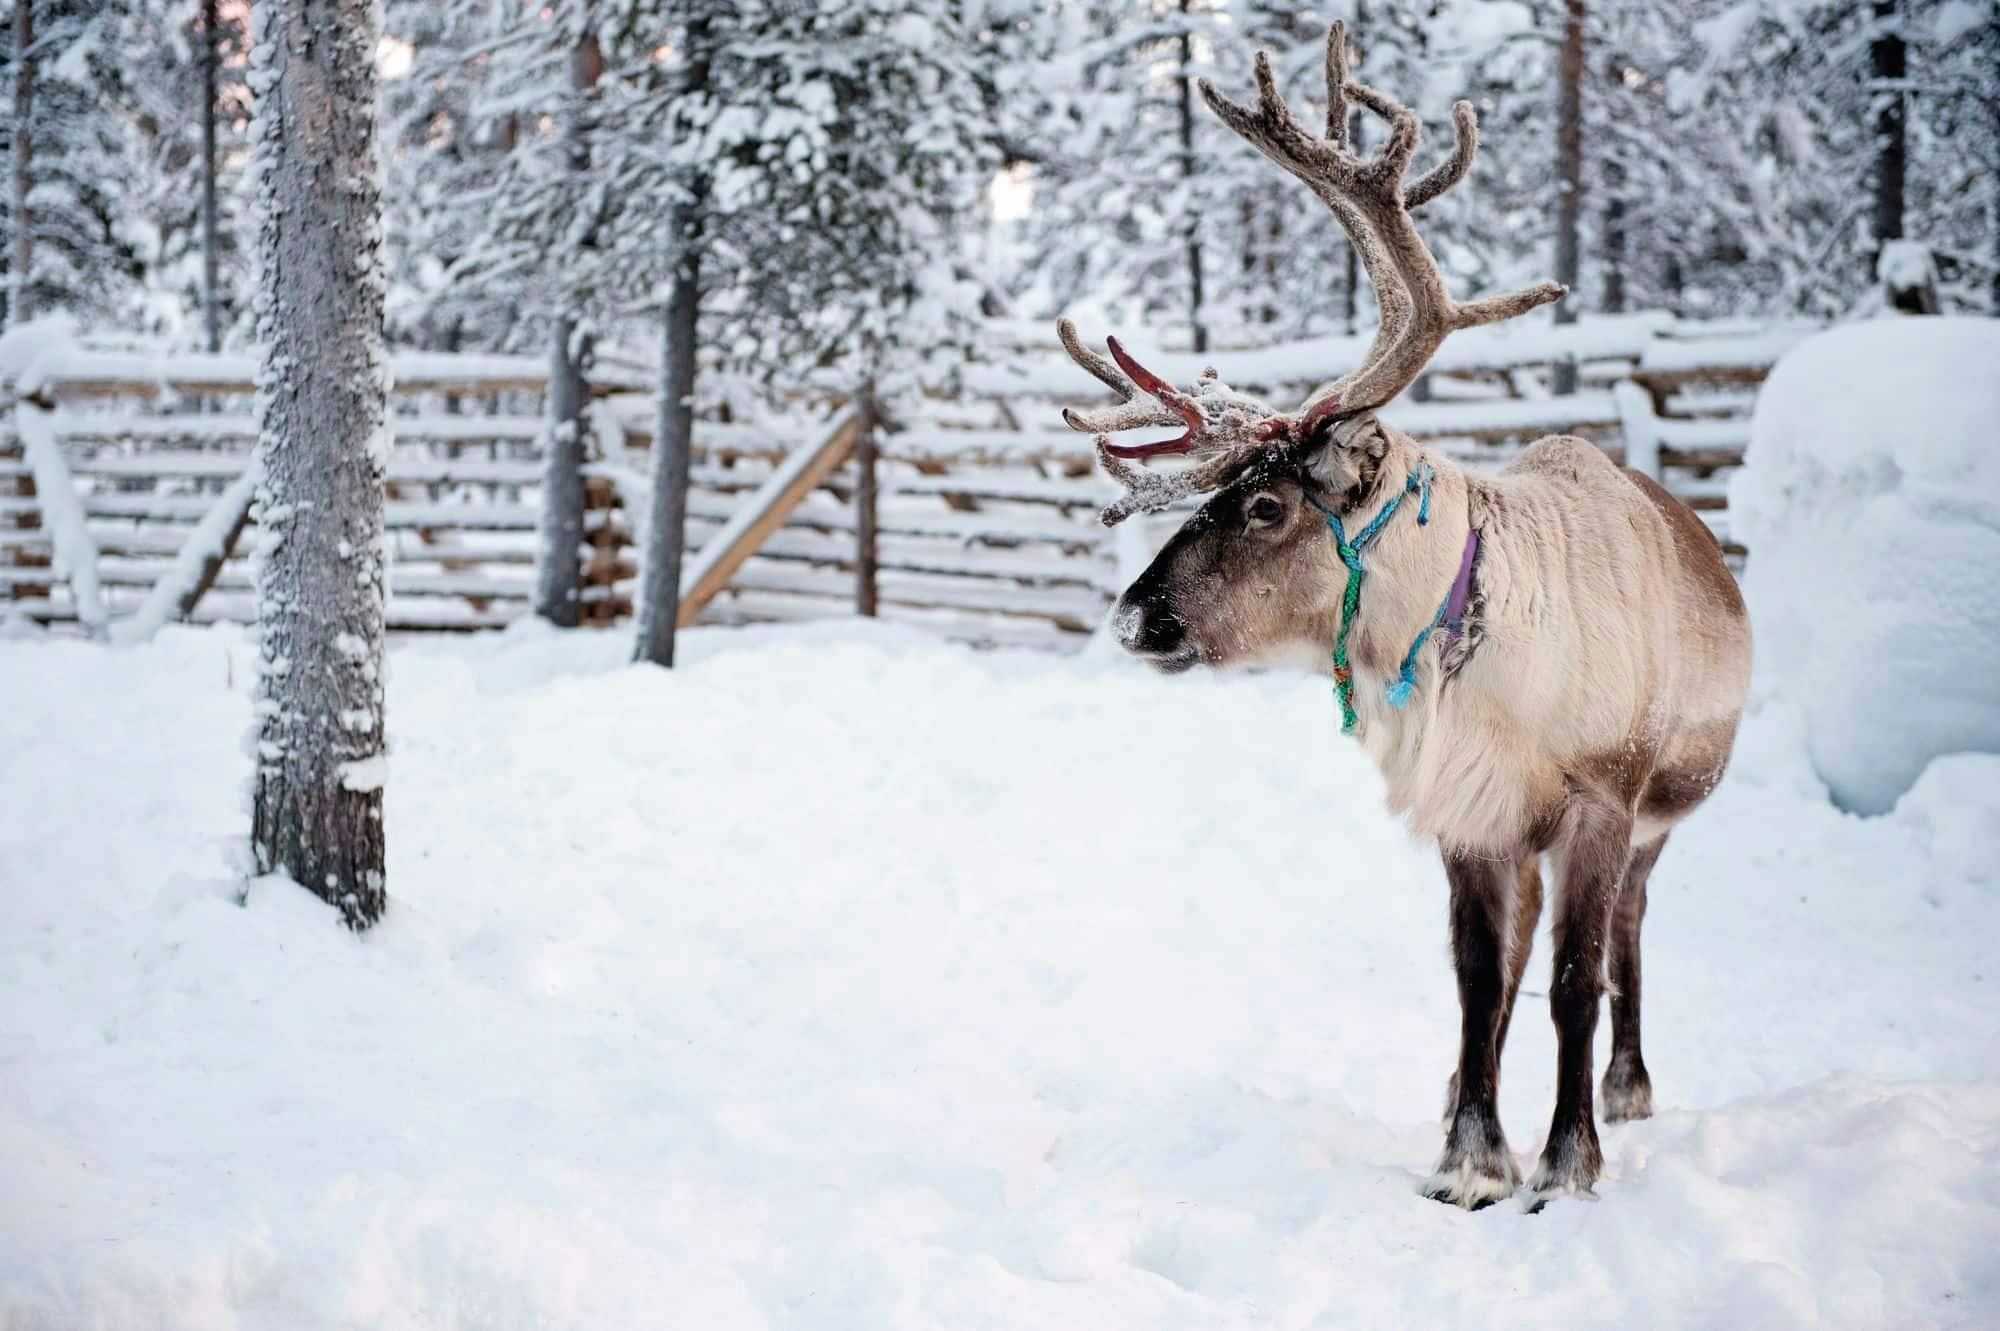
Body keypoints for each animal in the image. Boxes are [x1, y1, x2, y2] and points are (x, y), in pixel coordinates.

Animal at [1058, 20, 1752, 1210]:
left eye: (1265, 503)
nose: (1135, 617)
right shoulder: (1471, 810)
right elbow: (1481, 977)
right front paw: (1468, 1155)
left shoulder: (1601, 801)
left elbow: (1574, 979)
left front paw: (1565, 1162)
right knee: (1514, 964)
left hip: (1659, 816)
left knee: (1624, 934)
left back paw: (1625, 1089)